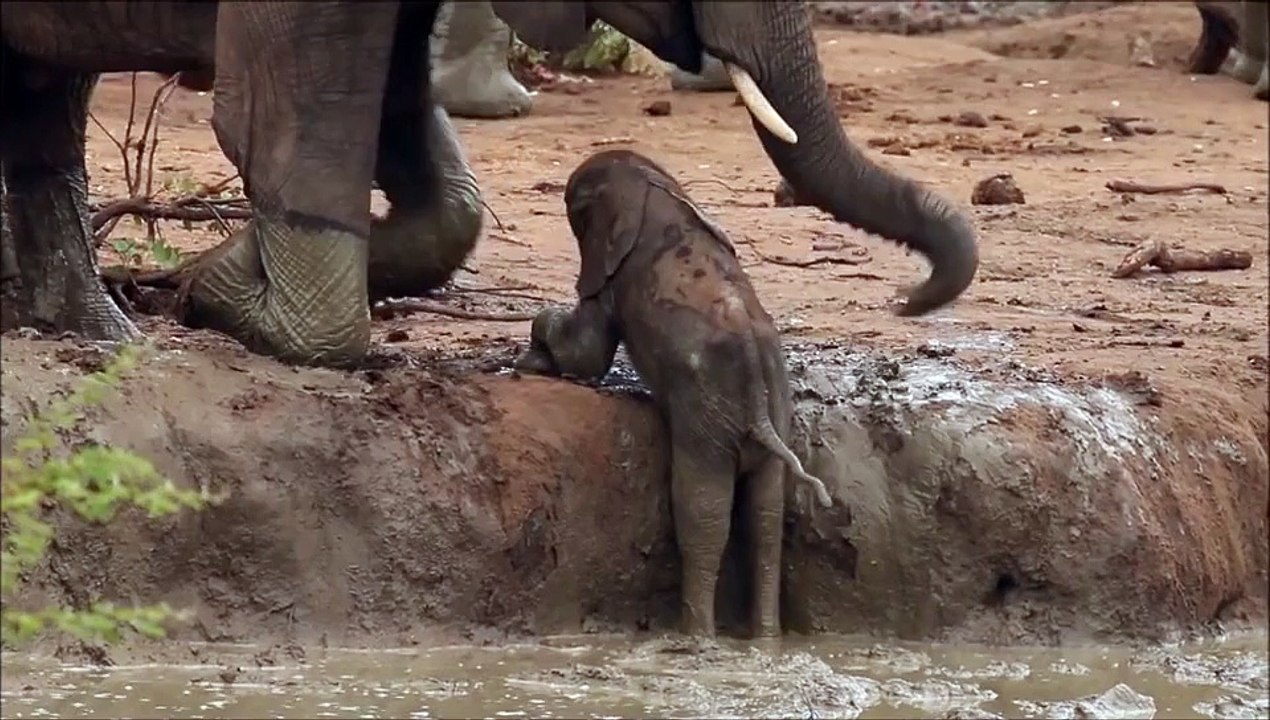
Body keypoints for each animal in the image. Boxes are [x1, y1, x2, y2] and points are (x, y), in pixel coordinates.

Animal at [6, 1, 980, 368]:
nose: (905, 297)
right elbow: (291, 128)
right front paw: (224, 290)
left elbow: (408, 126)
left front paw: (219, 269)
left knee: (45, 106)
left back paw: (97, 332)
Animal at [514, 149, 834, 638]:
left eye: (574, 212)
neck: (651, 181)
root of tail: (760, 407)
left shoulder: (613, 273)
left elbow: (588, 350)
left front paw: (532, 356)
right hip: (774, 412)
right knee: (765, 514)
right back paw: (764, 640)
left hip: (706, 417)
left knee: (702, 511)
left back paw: (695, 635)